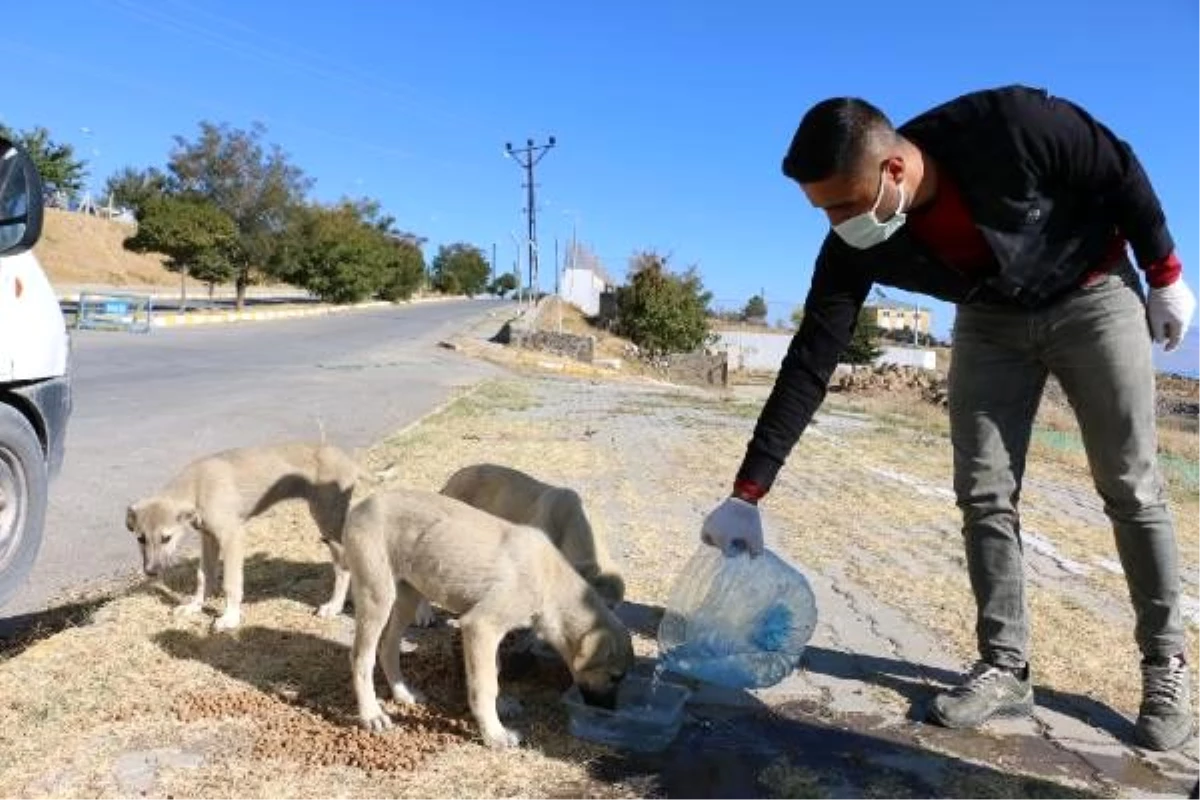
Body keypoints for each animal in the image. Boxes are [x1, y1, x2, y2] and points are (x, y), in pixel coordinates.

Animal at [128, 441, 360, 628]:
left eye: (166, 538)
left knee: (343, 566)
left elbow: (231, 582)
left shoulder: (232, 536)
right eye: (141, 539)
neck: (197, 486)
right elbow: (204, 576)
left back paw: (334, 606)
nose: (150, 572)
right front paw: (195, 606)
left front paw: (230, 618)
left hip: (327, 521)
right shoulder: (209, 537)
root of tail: (344, 456)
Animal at [343, 489, 633, 753]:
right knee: (361, 658)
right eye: (615, 677)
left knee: (388, 647)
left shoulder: (490, 633)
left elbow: (493, 671)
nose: (609, 713)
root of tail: (361, 505)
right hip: (377, 596)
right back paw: (371, 714)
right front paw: (495, 734)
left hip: (406, 597)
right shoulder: (480, 626)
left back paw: (402, 693)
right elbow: (485, 685)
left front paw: (501, 706)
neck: (550, 581)